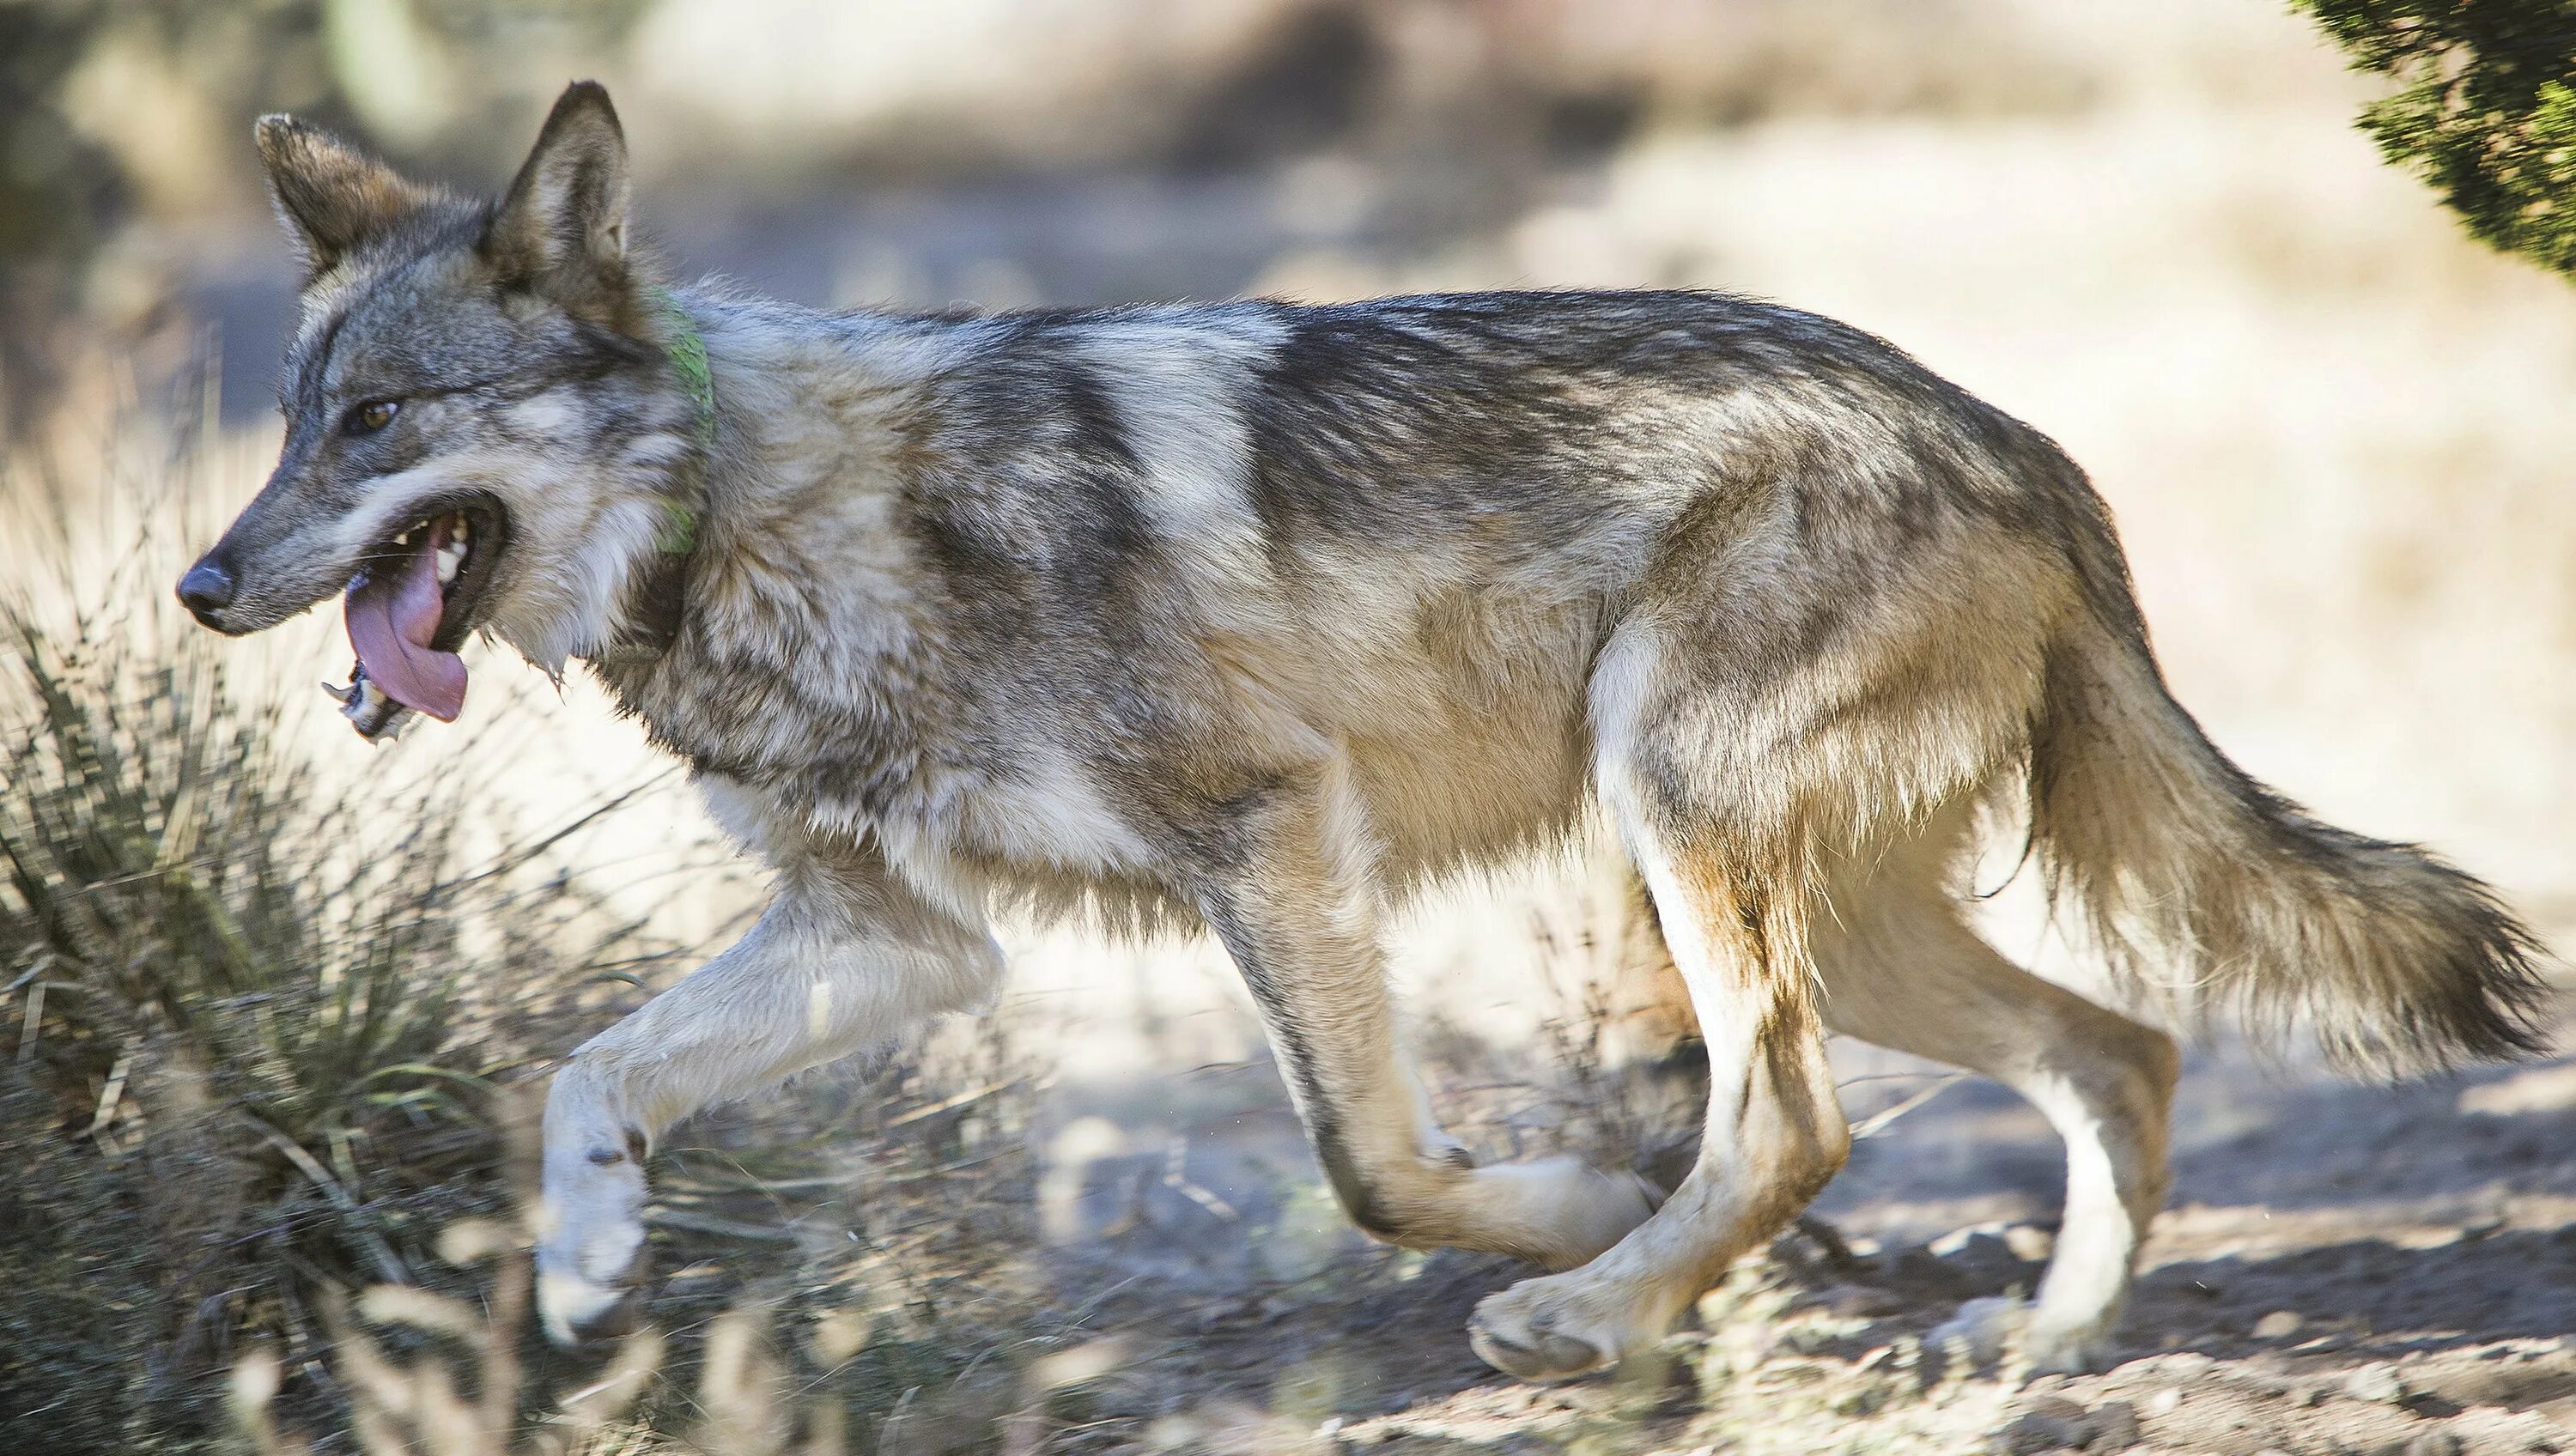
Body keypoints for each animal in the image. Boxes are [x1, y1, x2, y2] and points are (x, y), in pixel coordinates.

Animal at [171, 85, 2545, 1380]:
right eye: (288, 426)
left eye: (376, 424)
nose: (197, 583)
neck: (760, 504)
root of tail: (2025, 444)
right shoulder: (904, 940)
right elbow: (592, 1074)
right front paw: (584, 1266)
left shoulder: (1268, 832)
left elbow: (1377, 1165)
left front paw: (1565, 1216)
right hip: (1833, 913)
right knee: (2114, 1053)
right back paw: (2028, 1352)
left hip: (1687, 837)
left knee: (1793, 1119)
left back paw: (1596, 1317)